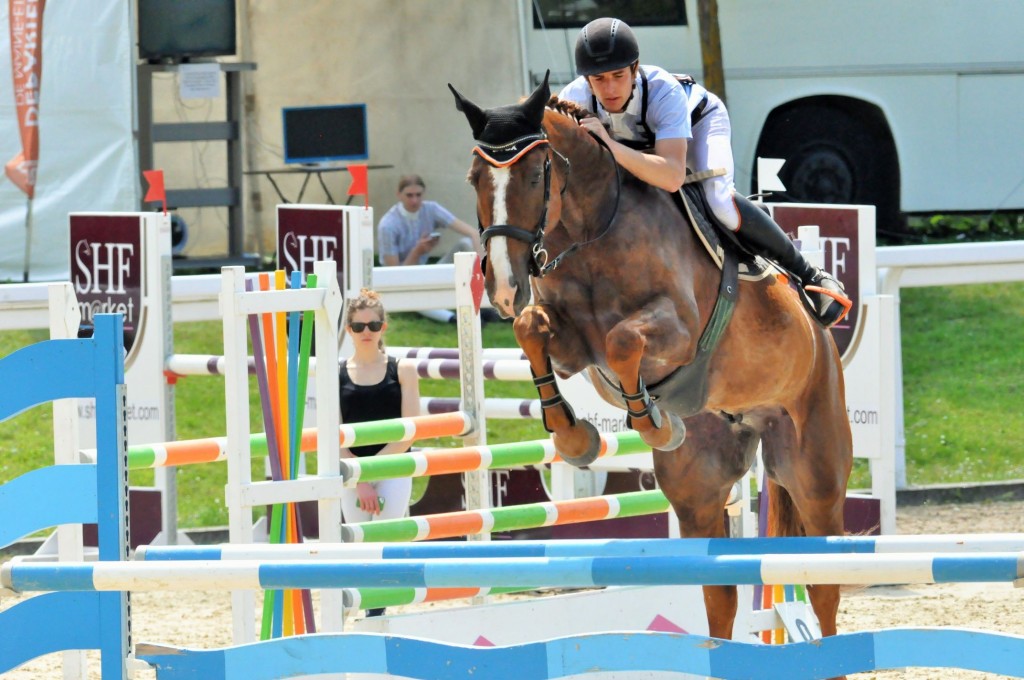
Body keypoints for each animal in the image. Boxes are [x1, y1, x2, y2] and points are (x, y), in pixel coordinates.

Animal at [448, 73, 856, 655]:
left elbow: (623, 340)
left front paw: (652, 423)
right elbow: (533, 330)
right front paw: (576, 436)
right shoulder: (571, 348)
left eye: (535, 173)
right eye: (475, 177)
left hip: (815, 470)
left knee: (823, 586)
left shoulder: (678, 329)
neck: (593, 229)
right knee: (720, 595)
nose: (503, 287)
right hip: (700, 489)